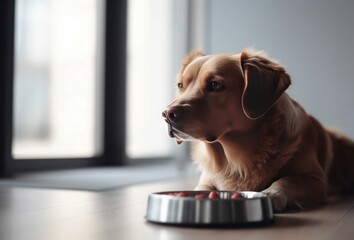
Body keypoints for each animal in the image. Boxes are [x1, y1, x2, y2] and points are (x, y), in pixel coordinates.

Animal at [162, 49, 354, 212]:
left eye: (215, 85)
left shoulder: (316, 180)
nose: (167, 114)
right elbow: (200, 188)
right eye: (181, 85)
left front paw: (271, 194)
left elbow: (286, 180)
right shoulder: (207, 178)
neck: (236, 160)